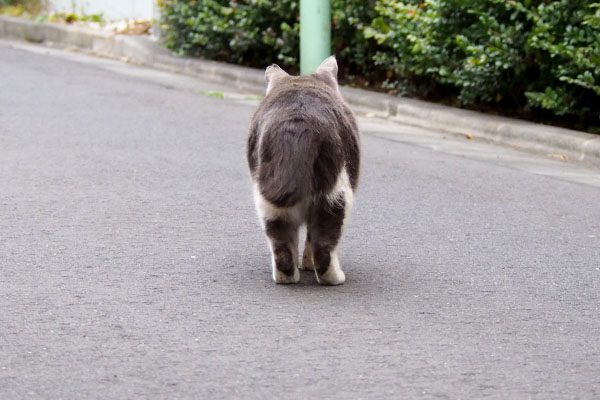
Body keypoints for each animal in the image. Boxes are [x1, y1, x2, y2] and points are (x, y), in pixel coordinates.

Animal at [247, 56, 360, 286]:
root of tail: (298, 121)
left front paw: (305, 265)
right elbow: (310, 239)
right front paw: (308, 265)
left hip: (268, 200)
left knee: (281, 245)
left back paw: (286, 277)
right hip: (337, 194)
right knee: (323, 244)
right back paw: (334, 278)